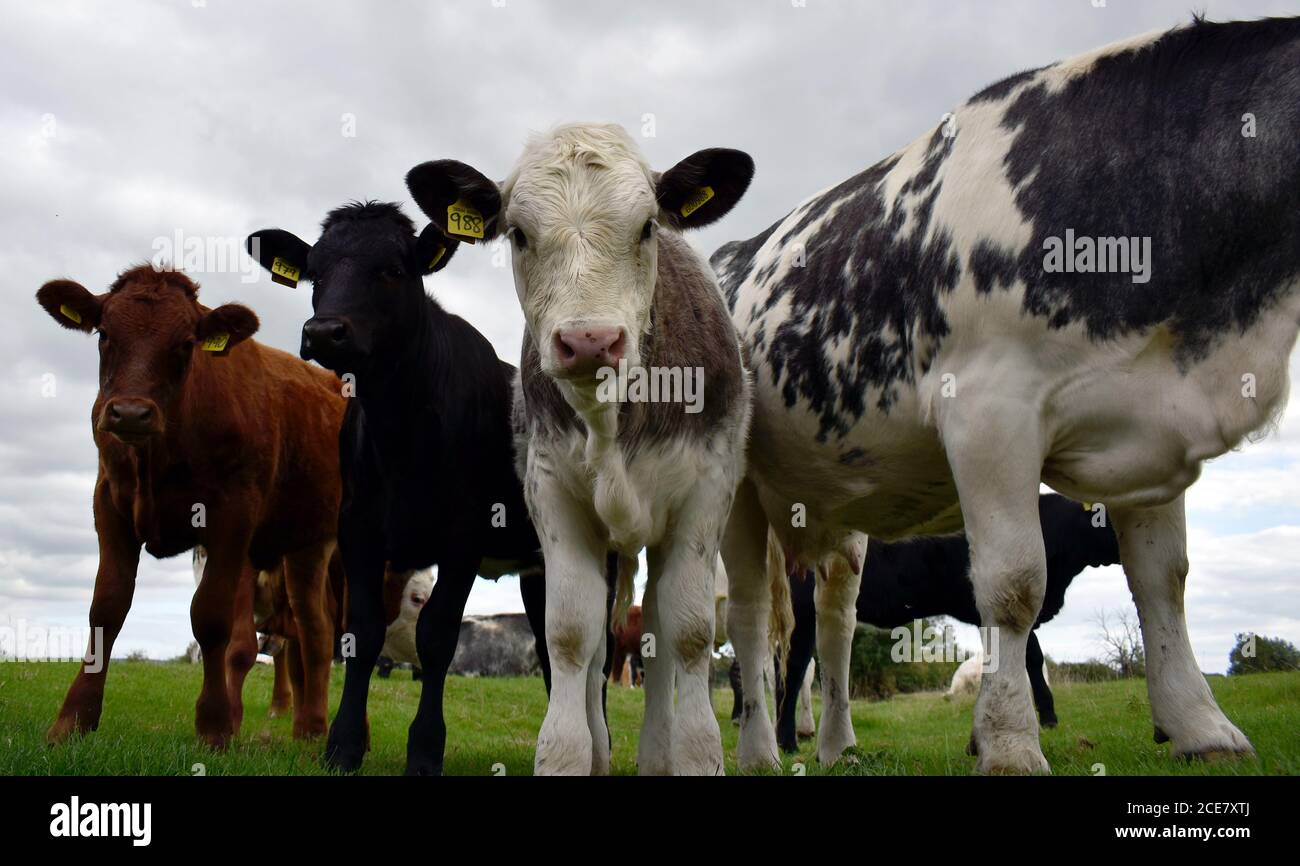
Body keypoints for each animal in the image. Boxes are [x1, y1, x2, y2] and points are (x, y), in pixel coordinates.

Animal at [405, 122, 754, 774]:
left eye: (648, 226)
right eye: (519, 234)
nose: (590, 340)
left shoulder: (705, 495)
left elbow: (689, 633)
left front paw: (695, 753)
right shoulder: (553, 498)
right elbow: (569, 635)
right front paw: (568, 754)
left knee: (659, 637)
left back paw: (656, 752)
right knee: (596, 653)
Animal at [712, 15, 1300, 769]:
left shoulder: (1151, 422)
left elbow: (1163, 582)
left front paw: (1200, 727)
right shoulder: (989, 414)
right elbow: (1015, 584)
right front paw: (1011, 744)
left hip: (838, 502)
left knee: (835, 621)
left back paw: (839, 746)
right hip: (736, 493)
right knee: (752, 618)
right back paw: (758, 749)